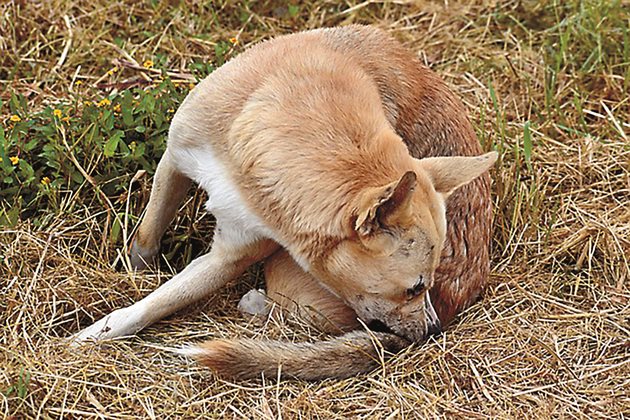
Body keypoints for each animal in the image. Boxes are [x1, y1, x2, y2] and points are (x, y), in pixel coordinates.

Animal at [73, 25, 498, 380]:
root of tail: (454, 304)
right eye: (414, 288)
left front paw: (97, 333)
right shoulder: (175, 160)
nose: (434, 332)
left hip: (283, 274)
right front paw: (132, 274)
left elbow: (156, 303)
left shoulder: (231, 256)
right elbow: (147, 237)